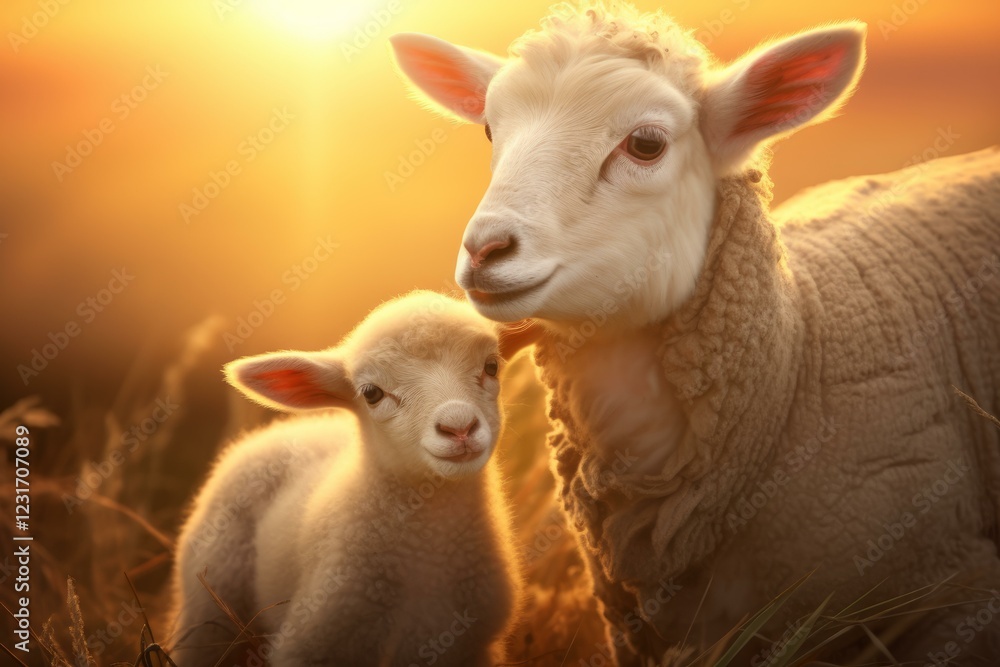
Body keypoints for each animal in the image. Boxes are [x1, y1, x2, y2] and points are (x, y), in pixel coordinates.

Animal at [168, 290, 521, 667]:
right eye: (371, 393)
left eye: (492, 366)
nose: (459, 427)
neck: (429, 559)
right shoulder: (311, 643)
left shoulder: (469, 647)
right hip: (211, 596)